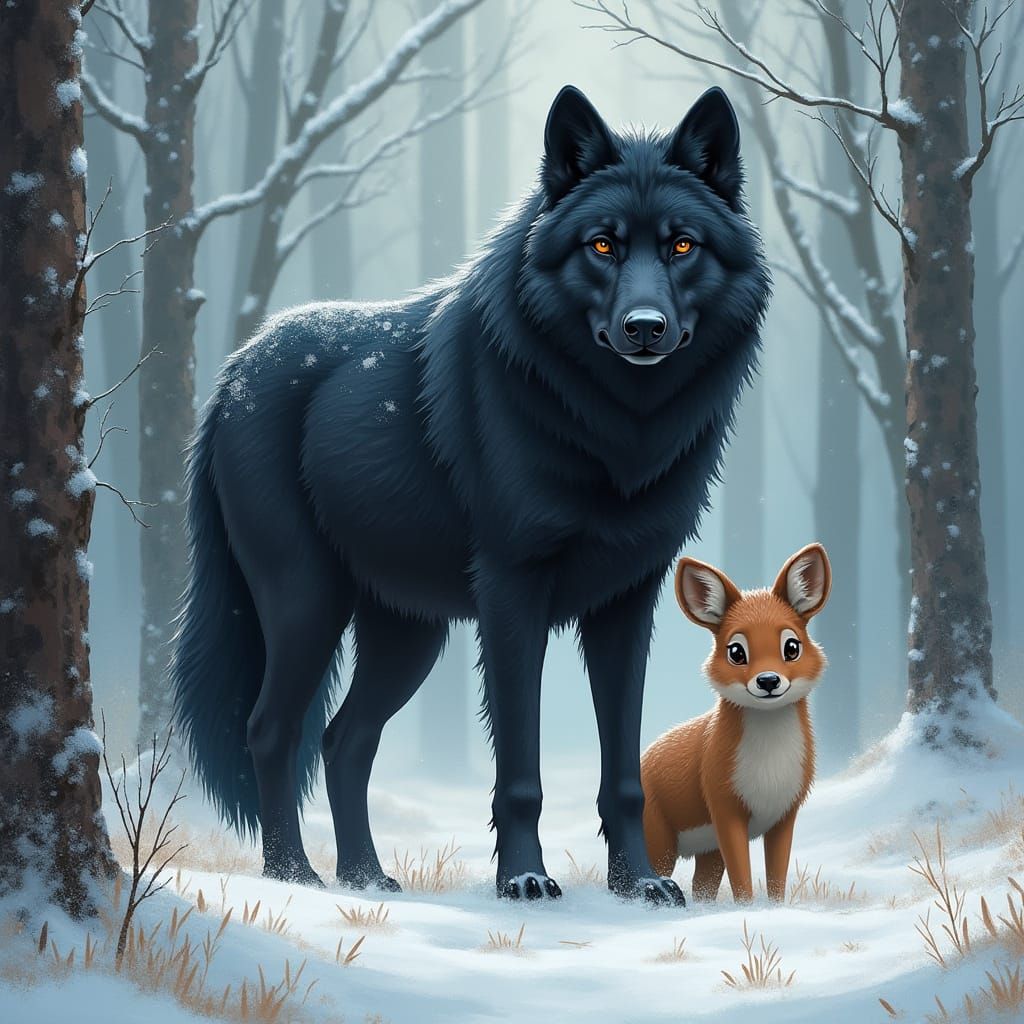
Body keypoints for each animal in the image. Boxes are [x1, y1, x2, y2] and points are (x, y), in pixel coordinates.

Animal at [170, 84, 771, 904]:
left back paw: (367, 878)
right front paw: (524, 878)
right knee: (272, 731)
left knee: (344, 739)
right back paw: (296, 876)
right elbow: (519, 768)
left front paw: (637, 885)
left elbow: (623, 772)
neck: (617, 430)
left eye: (682, 247)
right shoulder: (513, 593)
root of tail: (231, 372)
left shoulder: (628, 601)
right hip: (307, 603)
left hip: (407, 635)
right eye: (603, 246)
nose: (644, 327)